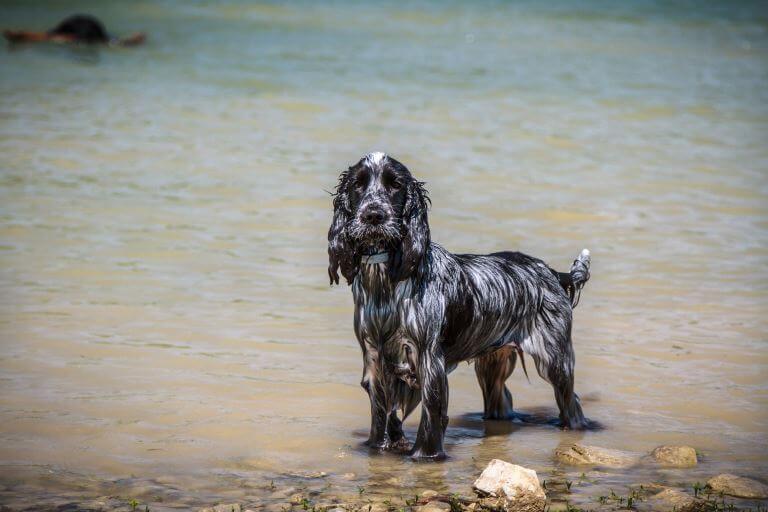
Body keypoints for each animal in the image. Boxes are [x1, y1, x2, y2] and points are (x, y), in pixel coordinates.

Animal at [328, 152, 592, 460]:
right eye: (358, 185)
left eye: (395, 185)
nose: (373, 215)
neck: (387, 281)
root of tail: (549, 271)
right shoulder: (374, 360)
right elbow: (382, 419)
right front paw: (380, 450)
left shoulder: (429, 363)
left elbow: (431, 419)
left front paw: (424, 457)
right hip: (492, 366)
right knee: (502, 399)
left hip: (555, 361)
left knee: (572, 404)